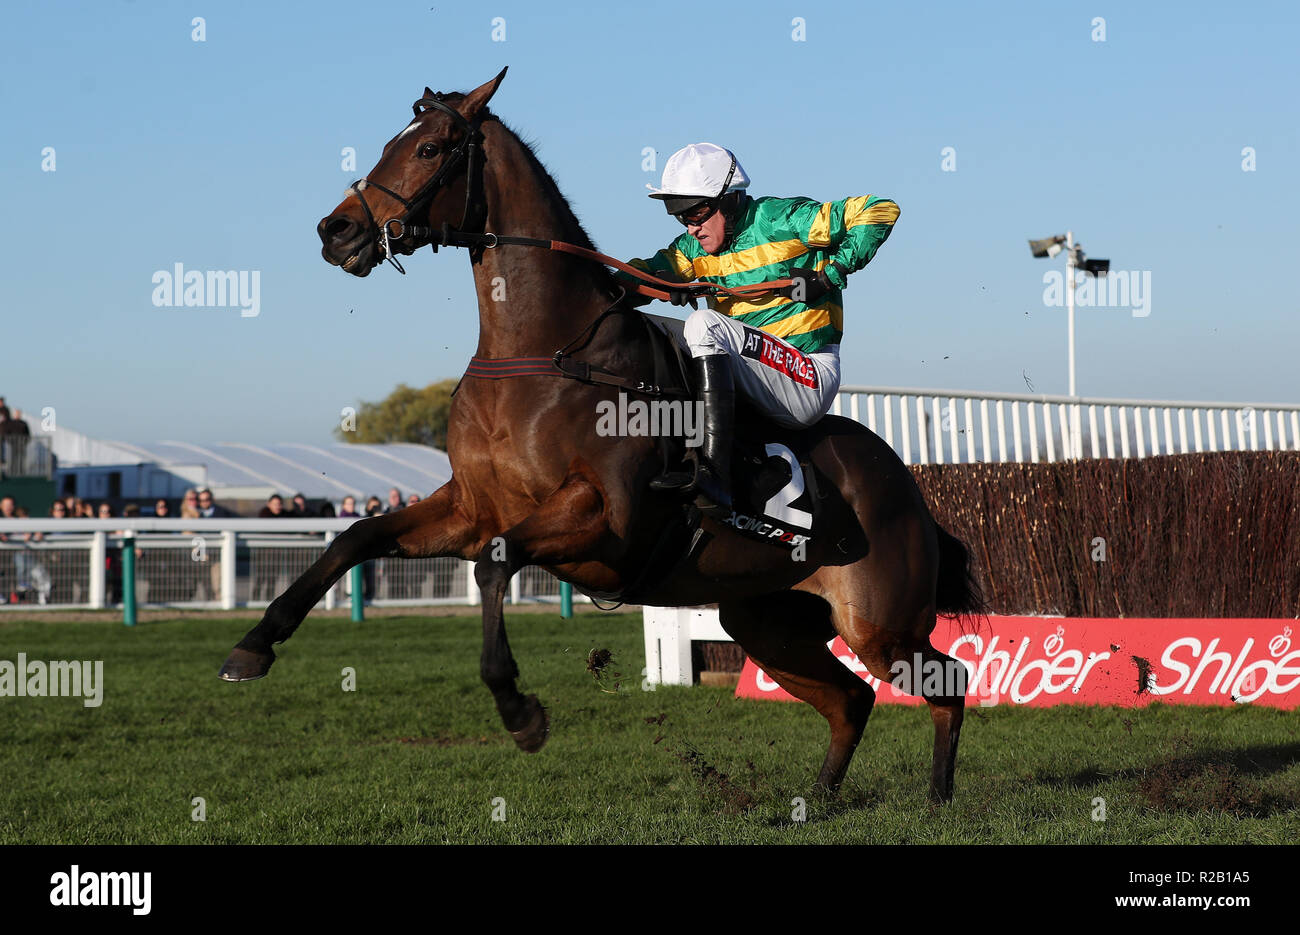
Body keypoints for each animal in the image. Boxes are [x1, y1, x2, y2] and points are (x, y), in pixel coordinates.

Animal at [218, 71, 977, 806]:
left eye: (431, 148)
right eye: (388, 143)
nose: (337, 229)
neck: (542, 353)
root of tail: (908, 485)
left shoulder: (606, 519)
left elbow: (494, 564)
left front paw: (520, 709)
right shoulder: (469, 508)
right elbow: (355, 538)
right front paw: (253, 646)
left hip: (880, 620)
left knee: (949, 679)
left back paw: (940, 796)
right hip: (768, 619)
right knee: (850, 699)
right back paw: (818, 798)